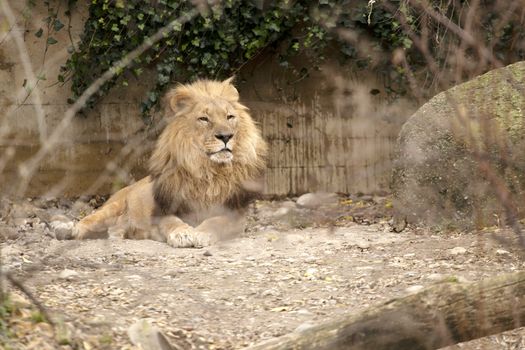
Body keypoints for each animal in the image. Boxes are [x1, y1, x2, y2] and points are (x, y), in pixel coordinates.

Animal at [72, 78, 268, 247]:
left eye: (229, 117)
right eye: (204, 119)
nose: (226, 136)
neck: (208, 172)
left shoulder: (236, 214)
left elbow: (217, 221)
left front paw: (201, 232)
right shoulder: (163, 211)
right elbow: (172, 222)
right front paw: (182, 233)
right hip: (113, 206)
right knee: (90, 219)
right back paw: (70, 230)